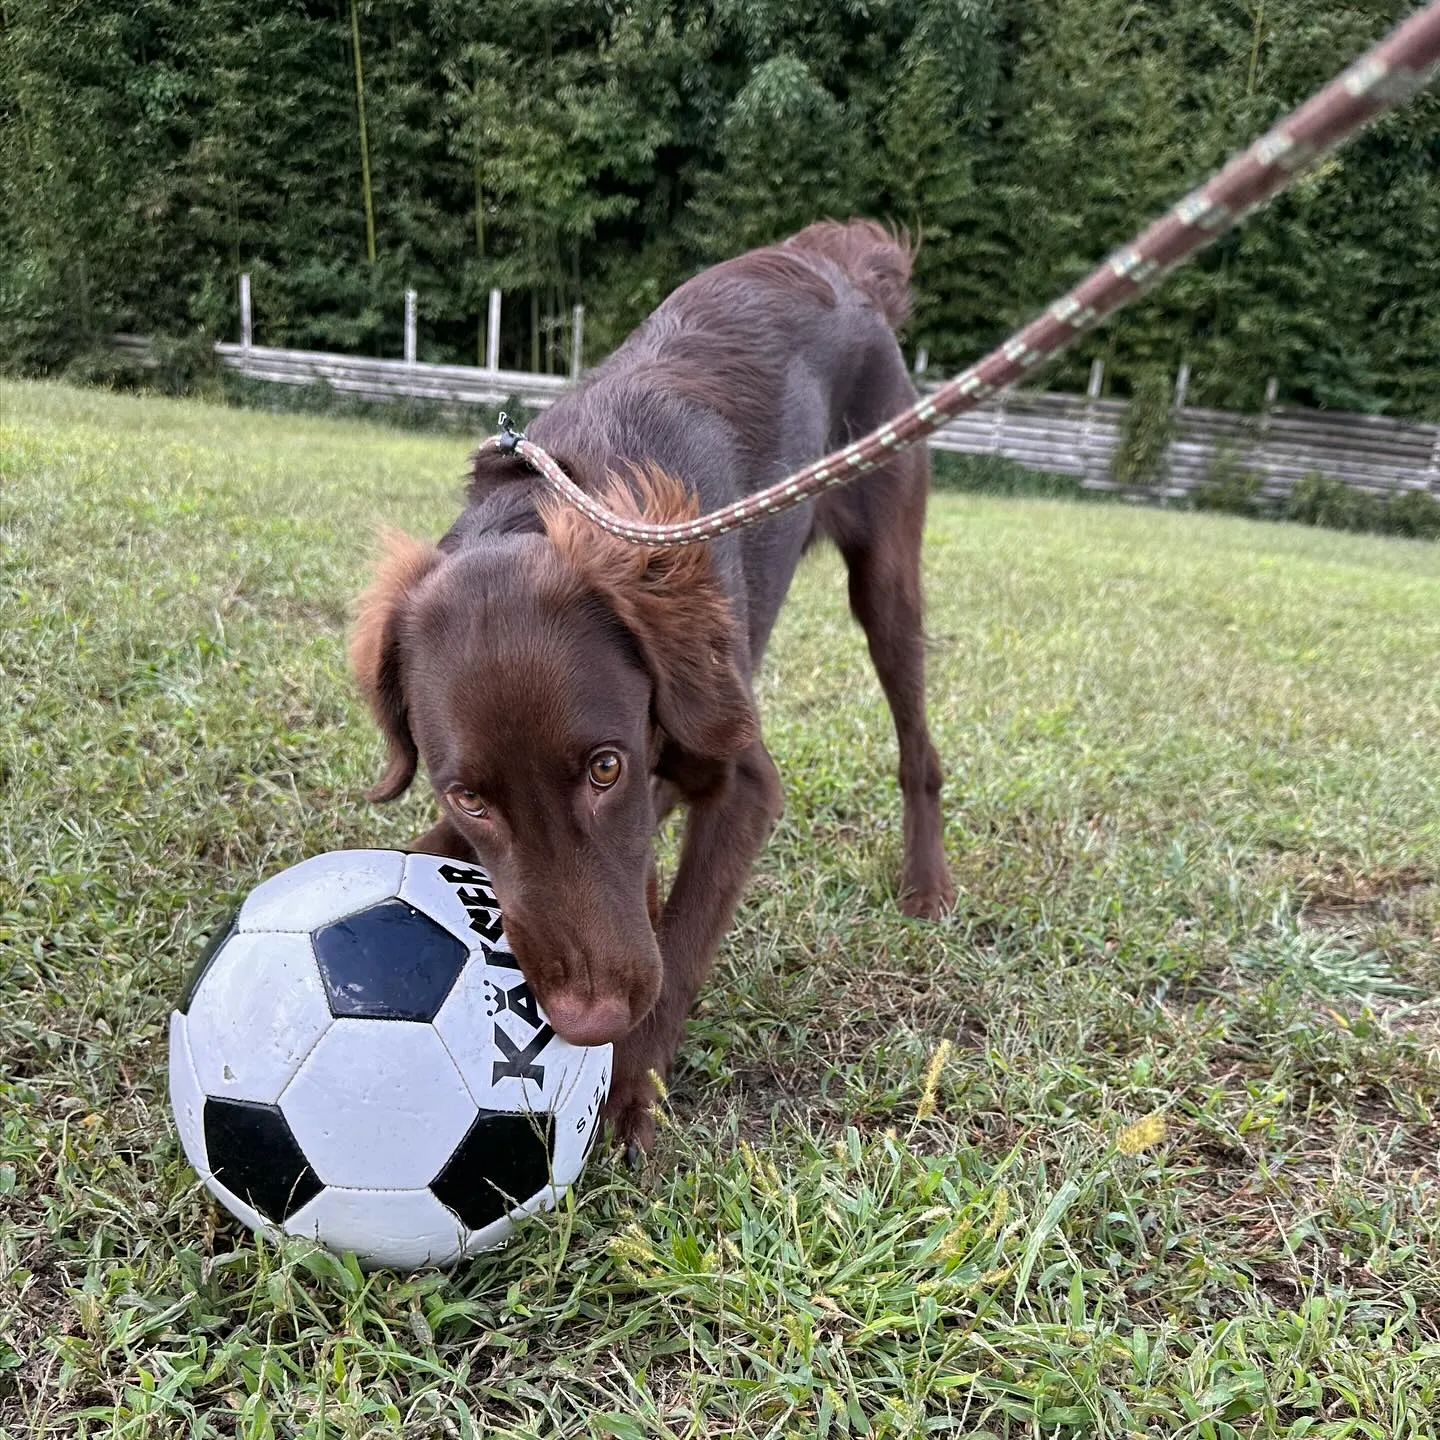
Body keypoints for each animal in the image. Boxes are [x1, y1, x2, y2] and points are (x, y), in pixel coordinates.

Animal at [348, 218, 956, 1152]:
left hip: (885, 571)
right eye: (469, 799)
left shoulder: (739, 773)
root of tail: (837, 259)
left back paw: (924, 884)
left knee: (916, 741)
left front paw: (631, 1088)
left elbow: (684, 936)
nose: (587, 1020)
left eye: (605, 768)